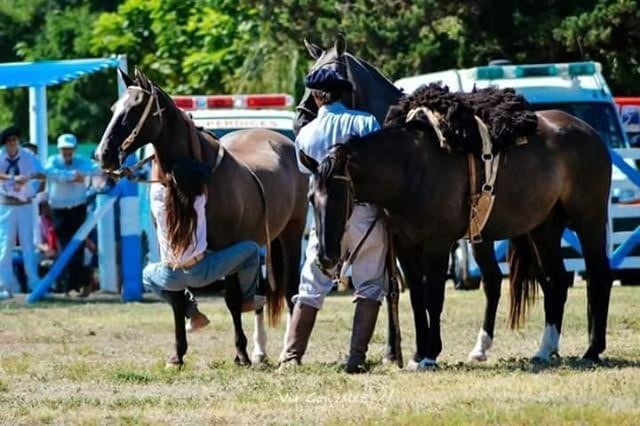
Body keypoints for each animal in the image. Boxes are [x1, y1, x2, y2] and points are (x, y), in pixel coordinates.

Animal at [96, 69, 308, 366]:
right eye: (115, 108)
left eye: (136, 108)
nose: (103, 154)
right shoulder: (169, 247)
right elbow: (176, 298)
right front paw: (177, 354)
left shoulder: (229, 248)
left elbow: (232, 300)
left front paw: (240, 354)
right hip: (262, 243)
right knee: (261, 295)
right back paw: (261, 351)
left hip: (291, 235)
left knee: (289, 292)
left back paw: (286, 354)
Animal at [296, 33, 510, 362]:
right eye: (310, 74)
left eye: (330, 72)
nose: (299, 121)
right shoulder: (397, 240)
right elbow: (395, 290)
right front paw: (394, 350)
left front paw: (409, 349)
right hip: (480, 235)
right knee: (494, 279)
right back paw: (480, 347)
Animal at [304, 95, 616, 366]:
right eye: (311, 198)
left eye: (339, 195)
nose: (326, 258)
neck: (410, 169)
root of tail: (588, 132)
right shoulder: (405, 248)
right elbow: (417, 298)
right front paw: (418, 353)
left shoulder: (438, 246)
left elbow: (433, 297)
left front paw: (430, 355)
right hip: (544, 229)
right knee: (557, 280)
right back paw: (544, 349)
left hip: (589, 219)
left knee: (599, 274)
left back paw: (592, 350)